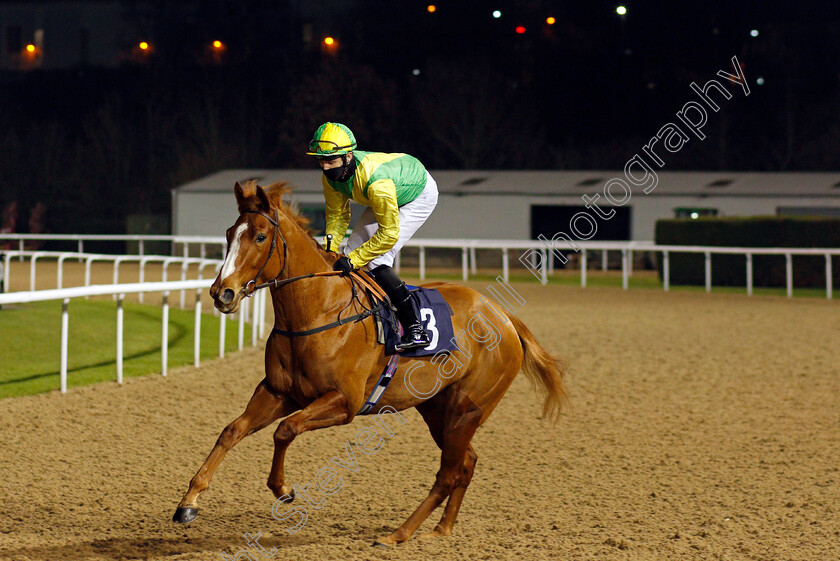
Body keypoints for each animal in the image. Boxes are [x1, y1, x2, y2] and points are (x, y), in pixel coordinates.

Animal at [173, 179, 568, 544]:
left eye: (259, 236)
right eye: (229, 234)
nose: (221, 293)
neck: (318, 310)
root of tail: (502, 315)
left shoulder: (344, 402)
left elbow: (285, 430)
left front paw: (283, 489)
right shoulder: (277, 392)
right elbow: (232, 430)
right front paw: (188, 502)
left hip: (467, 409)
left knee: (448, 473)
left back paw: (399, 533)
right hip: (438, 409)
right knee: (466, 463)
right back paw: (442, 529)